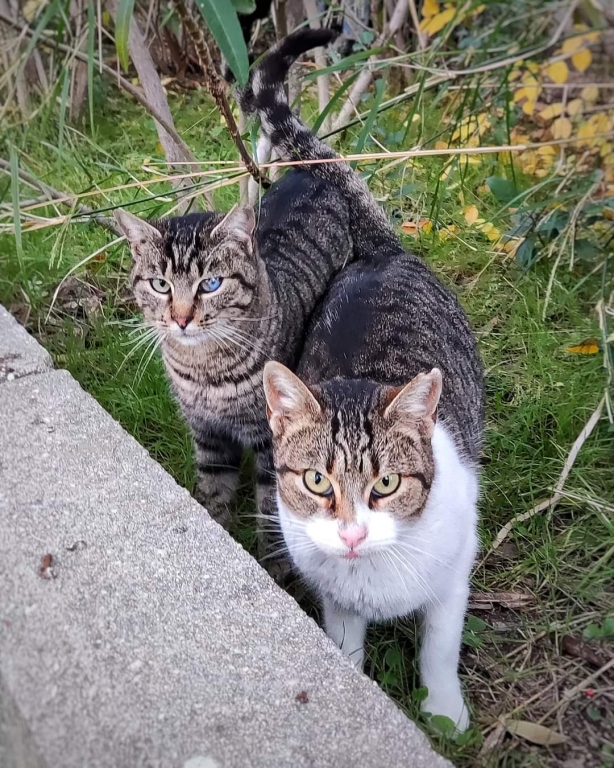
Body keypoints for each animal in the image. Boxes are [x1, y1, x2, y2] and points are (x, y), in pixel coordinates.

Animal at [115, 170, 354, 540]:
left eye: (211, 284)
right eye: (160, 285)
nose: (181, 319)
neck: (203, 370)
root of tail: (308, 172)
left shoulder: (271, 443)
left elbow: (271, 510)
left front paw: (270, 554)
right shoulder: (207, 434)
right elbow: (214, 490)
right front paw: (217, 528)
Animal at [241, 30, 486, 728]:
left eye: (386, 484)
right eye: (316, 480)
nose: (350, 533)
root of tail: (381, 251)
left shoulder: (454, 576)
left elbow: (438, 647)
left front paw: (444, 713)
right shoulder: (336, 598)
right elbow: (344, 642)